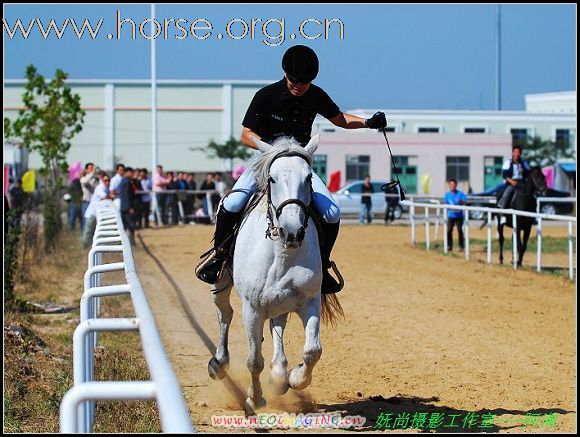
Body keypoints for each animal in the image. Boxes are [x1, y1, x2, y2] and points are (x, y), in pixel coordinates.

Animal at [208, 135, 342, 410]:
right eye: (272, 178)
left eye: (309, 177)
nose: (292, 231)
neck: (282, 254)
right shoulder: (252, 309)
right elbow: (253, 359)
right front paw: (254, 398)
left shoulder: (310, 302)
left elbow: (313, 351)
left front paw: (294, 378)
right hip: (221, 284)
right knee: (224, 314)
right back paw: (219, 363)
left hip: (280, 301)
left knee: (277, 326)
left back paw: (279, 376)